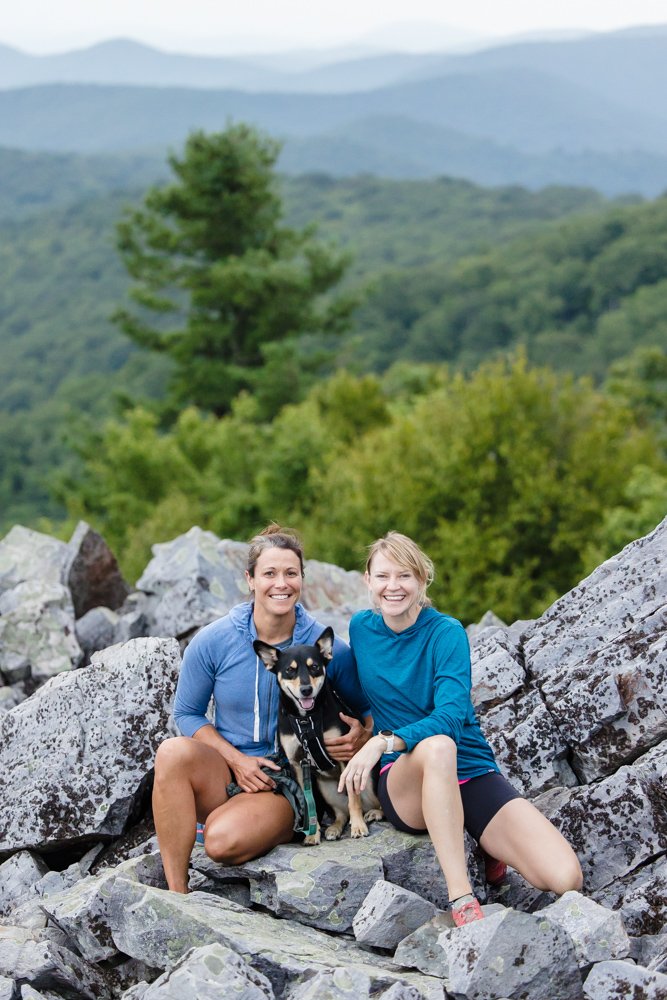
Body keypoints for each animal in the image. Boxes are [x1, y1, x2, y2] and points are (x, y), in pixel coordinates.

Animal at [254, 624, 380, 844]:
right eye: (289, 670)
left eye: (314, 667)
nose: (306, 690)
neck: (306, 720)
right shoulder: (297, 764)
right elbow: (306, 802)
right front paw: (313, 834)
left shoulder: (345, 755)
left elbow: (353, 799)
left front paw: (358, 827)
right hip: (326, 789)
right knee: (340, 814)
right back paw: (334, 828)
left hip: (370, 780)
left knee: (373, 803)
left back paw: (373, 813)